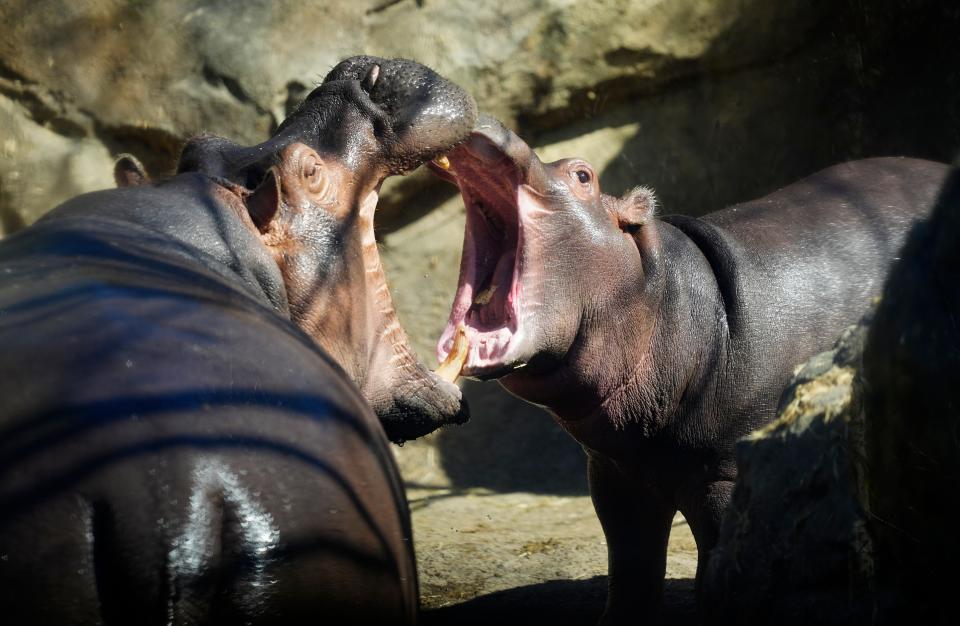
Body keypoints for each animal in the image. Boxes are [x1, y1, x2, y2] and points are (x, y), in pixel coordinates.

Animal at [428, 114, 944, 620]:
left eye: (583, 175)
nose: (483, 119)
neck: (661, 295)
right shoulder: (616, 475)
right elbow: (631, 573)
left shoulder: (725, 476)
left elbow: (714, 569)